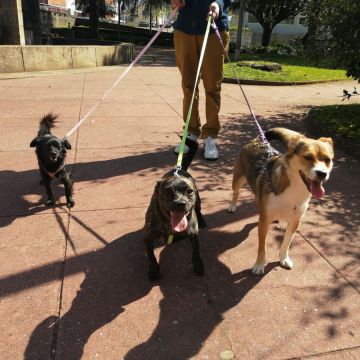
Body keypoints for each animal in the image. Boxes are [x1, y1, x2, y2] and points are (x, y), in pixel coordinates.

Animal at [143, 138, 207, 282]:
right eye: (167, 191)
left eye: (189, 191)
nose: (180, 203)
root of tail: (179, 169)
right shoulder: (147, 237)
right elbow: (151, 256)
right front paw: (154, 270)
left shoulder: (193, 233)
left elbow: (196, 250)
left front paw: (198, 264)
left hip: (198, 201)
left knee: (199, 209)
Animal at [228, 128, 334, 274]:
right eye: (308, 157)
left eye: (328, 160)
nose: (322, 174)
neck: (294, 189)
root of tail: (257, 141)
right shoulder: (264, 223)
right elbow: (262, 247)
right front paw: (259, 265)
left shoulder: (294, 222)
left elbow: (286, 243)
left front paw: (284, 259)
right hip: (238, 179)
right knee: (236, 193)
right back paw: (232, 205)